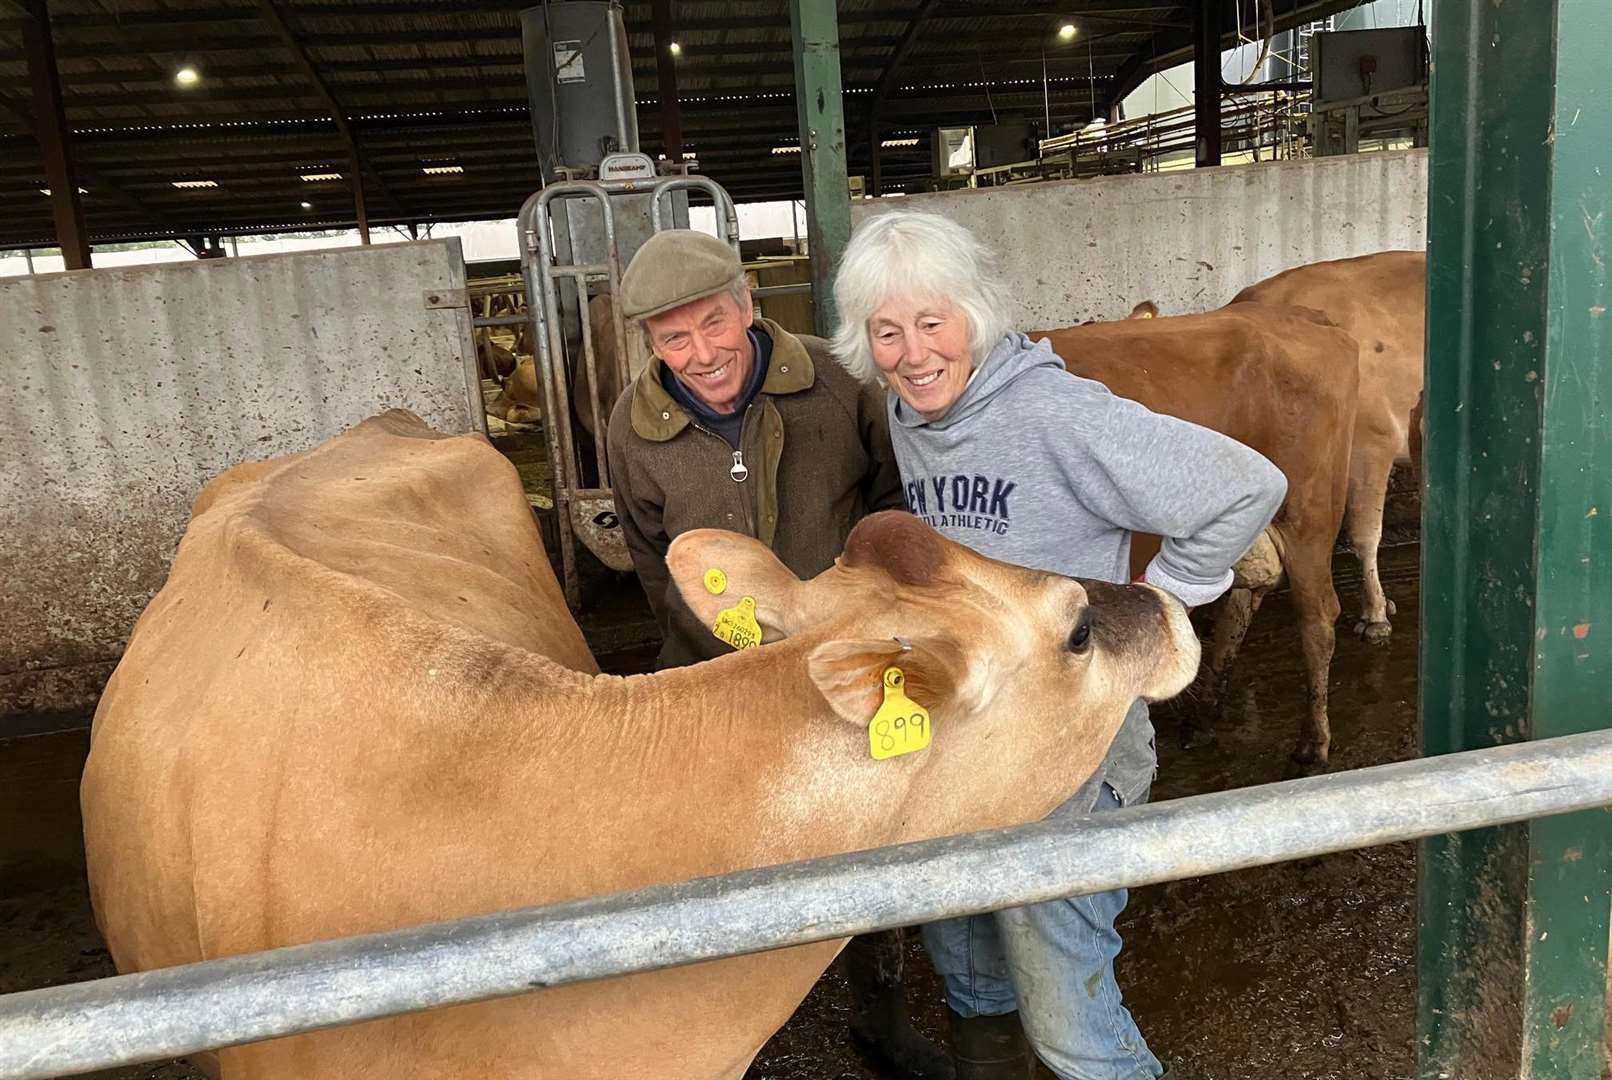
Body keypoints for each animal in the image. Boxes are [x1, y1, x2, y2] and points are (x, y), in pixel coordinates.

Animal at [1031, 299, 1360, 767]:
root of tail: (1301, 316)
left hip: (1308, 515)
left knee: (1317, 617)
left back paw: (1313, 743)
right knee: (1236, 612)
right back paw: (1204, 719)